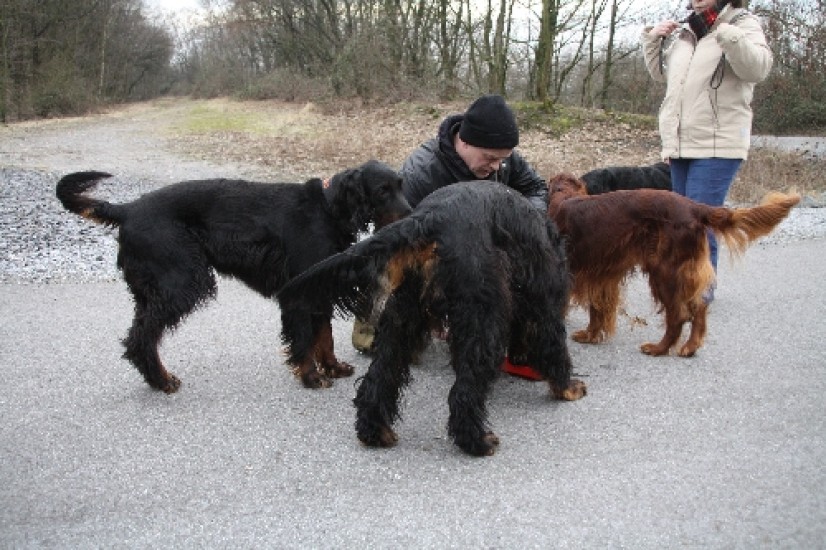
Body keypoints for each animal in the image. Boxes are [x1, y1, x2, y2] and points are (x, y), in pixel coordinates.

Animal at [56, 160, 411, 392]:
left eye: (400, 186)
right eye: (382, 190)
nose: (412, 214)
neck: (328, 208)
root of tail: (128, 209)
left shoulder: (319, 285)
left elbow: (325, 335)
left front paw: (333, 366)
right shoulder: (299, 291)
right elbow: (305, 338)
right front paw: (311, 377)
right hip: (181, 281)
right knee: (142, 336)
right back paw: (162, 380)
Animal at [277, 181, 587, 456]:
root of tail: (430, 217)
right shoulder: (544, 300)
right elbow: (553, 347)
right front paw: (567, 388)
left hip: (403, 315)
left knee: (381, 375)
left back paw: (375, 431)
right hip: (484, 315)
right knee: (464, 391)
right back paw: (477, 440)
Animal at [547, 173, 800, 357]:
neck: (564, 197)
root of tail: (695, 207)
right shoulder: (599, 274)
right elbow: (597, 308)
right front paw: (590, 335)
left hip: (664, 271)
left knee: (679, 314)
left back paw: (658, 348)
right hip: (684, 271)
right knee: (699, 305)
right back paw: (690, 347)